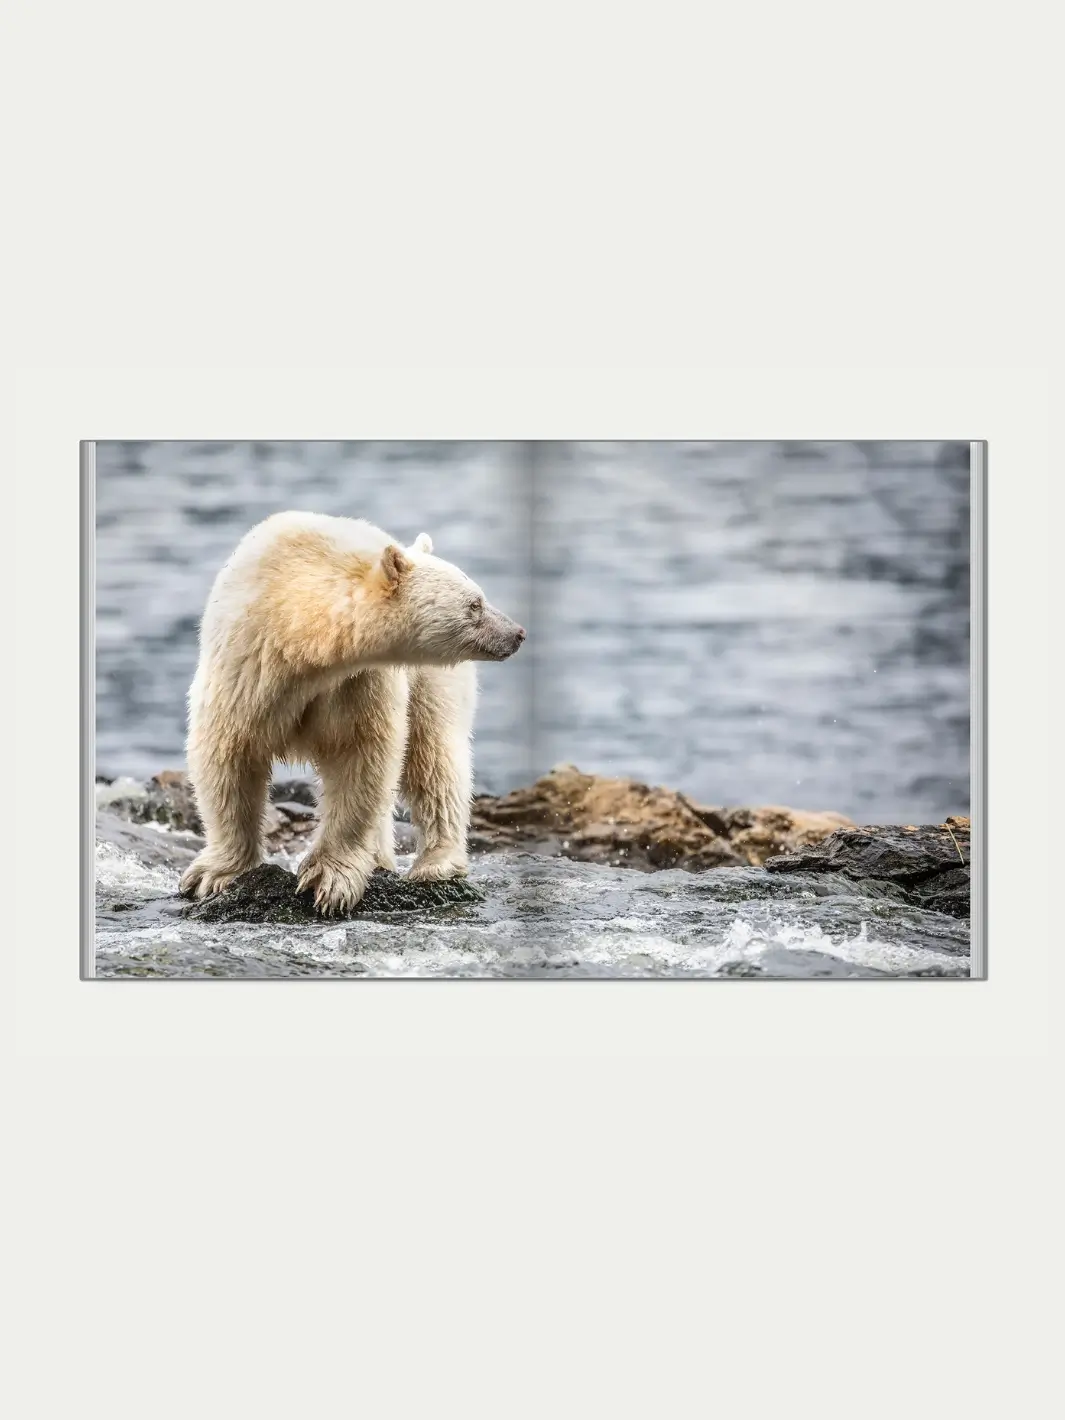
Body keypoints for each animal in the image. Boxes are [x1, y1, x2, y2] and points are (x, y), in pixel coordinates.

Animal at [178, 511, 526, 913]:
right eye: (475, 605)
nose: (517, 633)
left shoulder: (355, 682)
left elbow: (358, 757)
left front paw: (328, 880)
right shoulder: (247, 665)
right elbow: (229, 754)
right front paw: (213, 875)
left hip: (431, 680)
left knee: (434, 759)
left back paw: (435, 864)